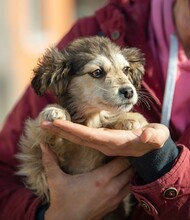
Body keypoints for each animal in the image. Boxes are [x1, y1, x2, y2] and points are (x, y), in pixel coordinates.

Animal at [15, 35, 148, 218]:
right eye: (97, 72)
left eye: (126, 69)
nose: (129, 91)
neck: (91, 119)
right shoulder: (35, 160)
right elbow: (40, 135)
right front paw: (54, 111)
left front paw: (130, 118)